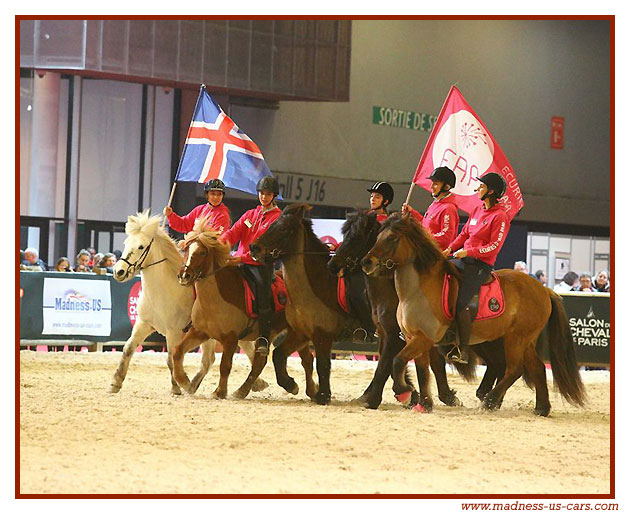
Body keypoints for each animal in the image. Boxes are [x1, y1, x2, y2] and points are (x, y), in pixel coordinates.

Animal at [109, 210, 266, 394]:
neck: (163, 291)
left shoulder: (174, 332)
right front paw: (115, 382)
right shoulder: (144, 324)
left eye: (141, 246)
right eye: (126, 243)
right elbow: (128, 349)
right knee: (211, 359)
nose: (118, 271)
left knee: (235, 354)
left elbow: (171, 358)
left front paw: (176, 387)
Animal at [362, 210, 592, 414]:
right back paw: (541, 408)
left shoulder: (422, 338)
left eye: (392, 238)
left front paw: (403, 392)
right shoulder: (413, 338)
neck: (418, 289)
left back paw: (490, 401)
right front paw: (424, 404)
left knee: (514, 369)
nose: (367, 262)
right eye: (377, 236)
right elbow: (422, 371)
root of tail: (544, 289)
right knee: (537, 368)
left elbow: (398, 360)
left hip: (516, 339)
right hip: (525, 340)